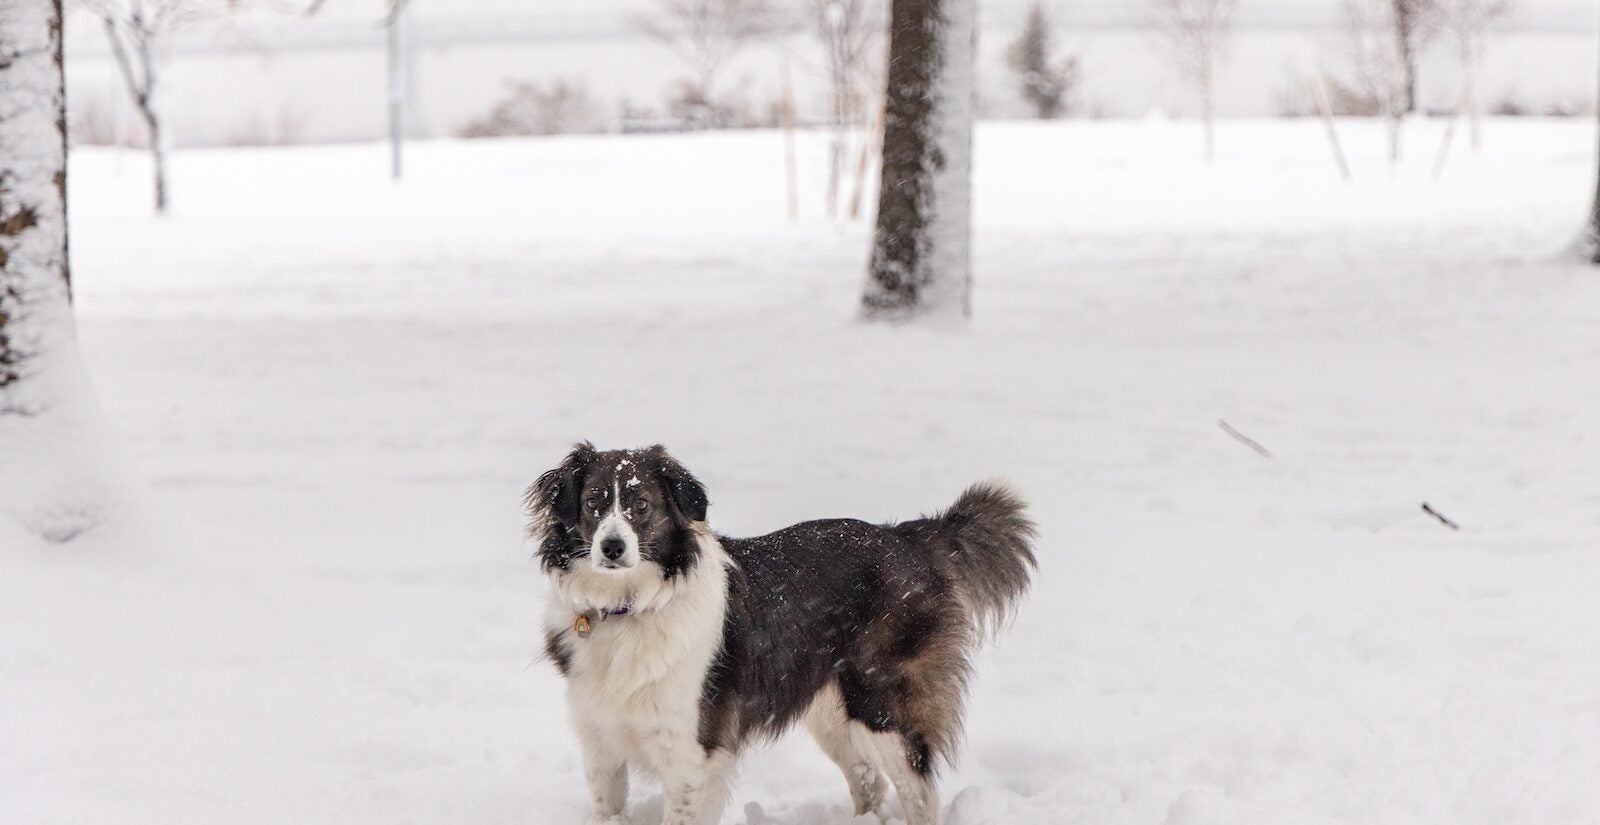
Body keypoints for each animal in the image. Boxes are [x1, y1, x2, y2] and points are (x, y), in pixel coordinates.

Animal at [528, 444, 1036, 825]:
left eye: (641, 505)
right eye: (593, 502)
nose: (612, 548)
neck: (629, 607)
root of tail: (907, 539)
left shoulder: (691, 754)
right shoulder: (600, 745)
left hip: (882, 703)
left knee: (920, 795)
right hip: (832, 711)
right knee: (867, 780)